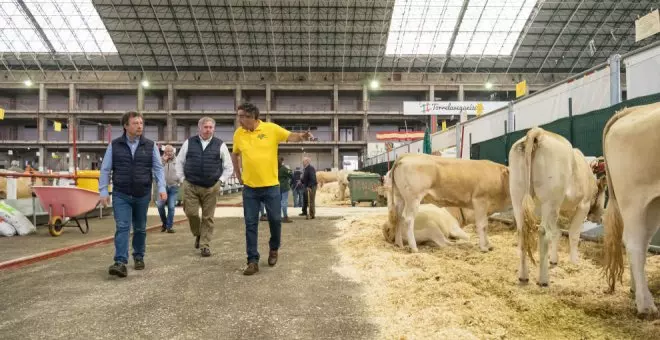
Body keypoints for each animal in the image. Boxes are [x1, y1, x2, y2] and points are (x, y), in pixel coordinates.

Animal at [508, 126, 604, 286]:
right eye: (604, 192)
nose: (600, 217)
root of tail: (538, 132)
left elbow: (556, 232)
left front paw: (553, 260)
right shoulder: (582, 206)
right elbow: (573, 234)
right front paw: (574, 262)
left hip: (519, 196)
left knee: (522, 231)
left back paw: (523, 276)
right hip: (550, 200)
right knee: (543, 231)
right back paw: (543, 280)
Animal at [604, 101, 660, 318]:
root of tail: (629, 110)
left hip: (652, 203)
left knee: (642, 242)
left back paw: (637, 290)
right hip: (634, 199)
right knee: (634, 243)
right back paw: (646, 305)